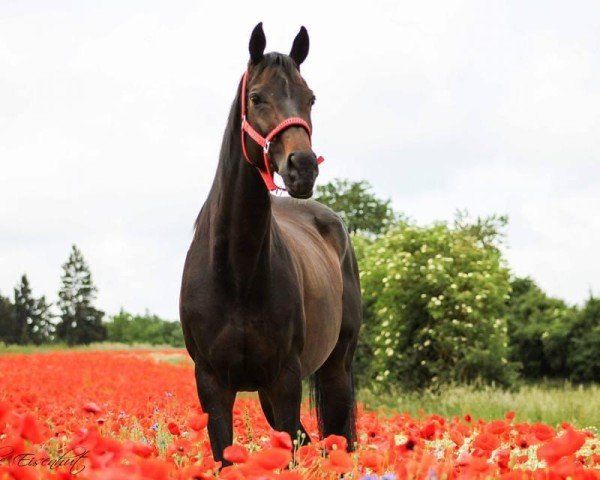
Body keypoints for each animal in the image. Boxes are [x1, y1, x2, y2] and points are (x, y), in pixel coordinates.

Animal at [179, 23, 360, 464]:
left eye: (310, 97)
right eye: (257, 97)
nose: (303, 167)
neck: (236, 271)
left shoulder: (285, 380)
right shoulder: (213, 385)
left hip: (335, 369)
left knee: (339, 440)